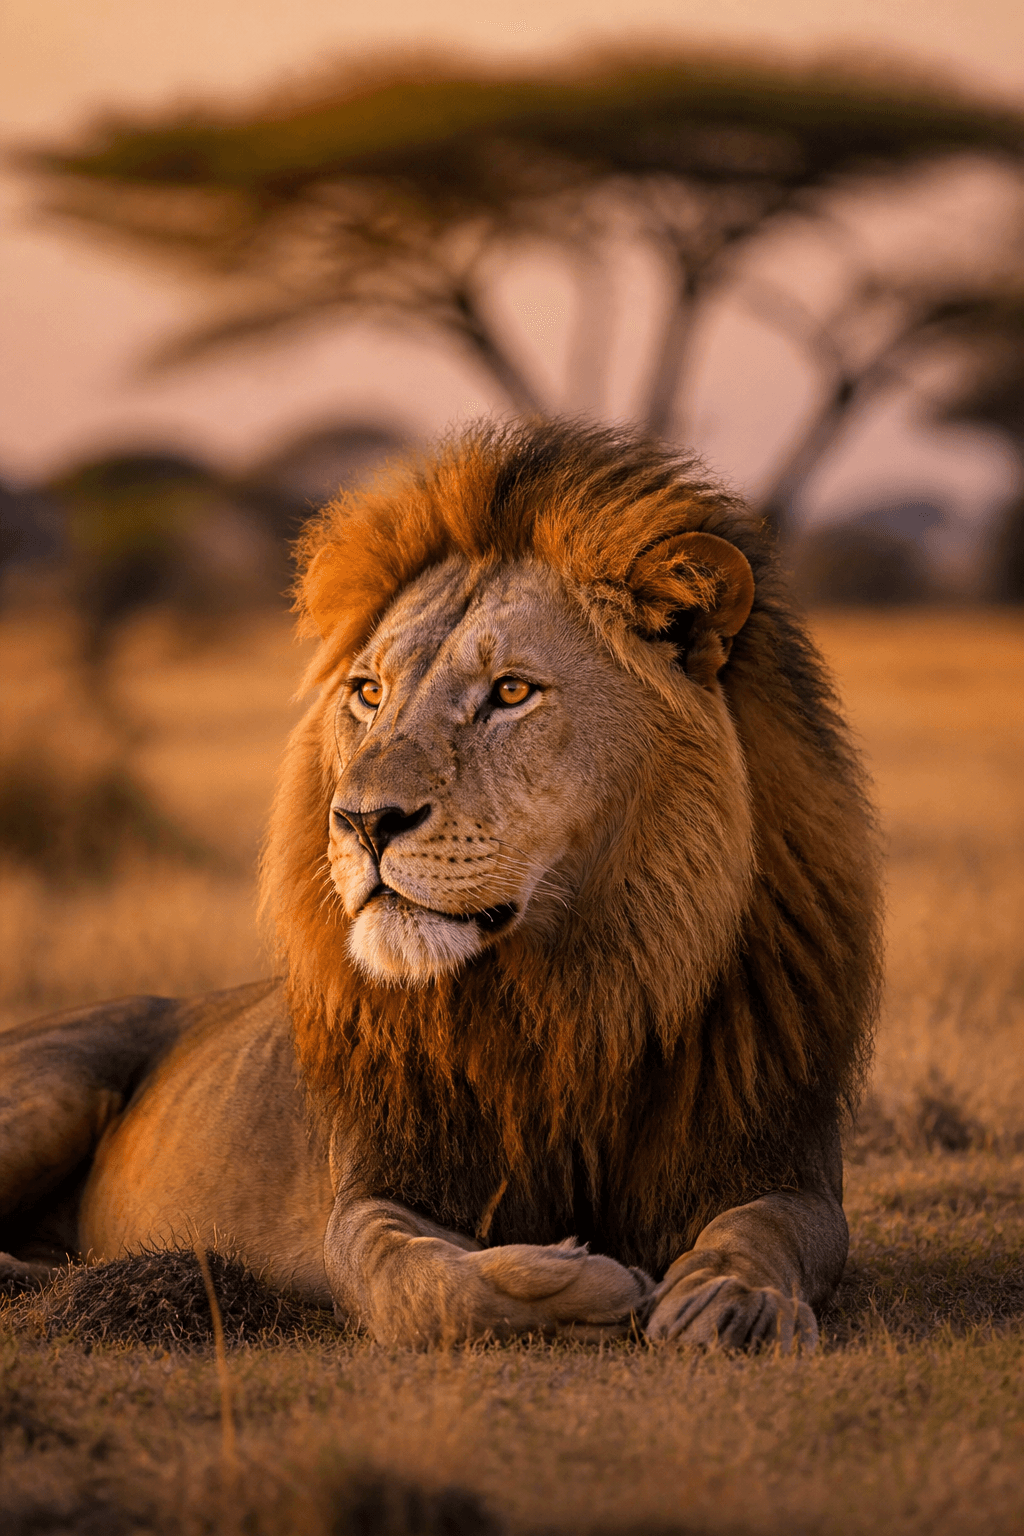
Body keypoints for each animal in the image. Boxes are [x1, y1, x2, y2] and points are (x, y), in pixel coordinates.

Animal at [0, 421, 880, 1350]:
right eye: (369, 692)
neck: (576, 989)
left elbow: (767, 1232)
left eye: (512, 692)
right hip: (51, 1088)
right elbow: (417, 1282)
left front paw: (733, 1301)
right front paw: (574, 1280)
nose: (362, 822)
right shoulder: (370, 1190)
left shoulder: (783, 1165)